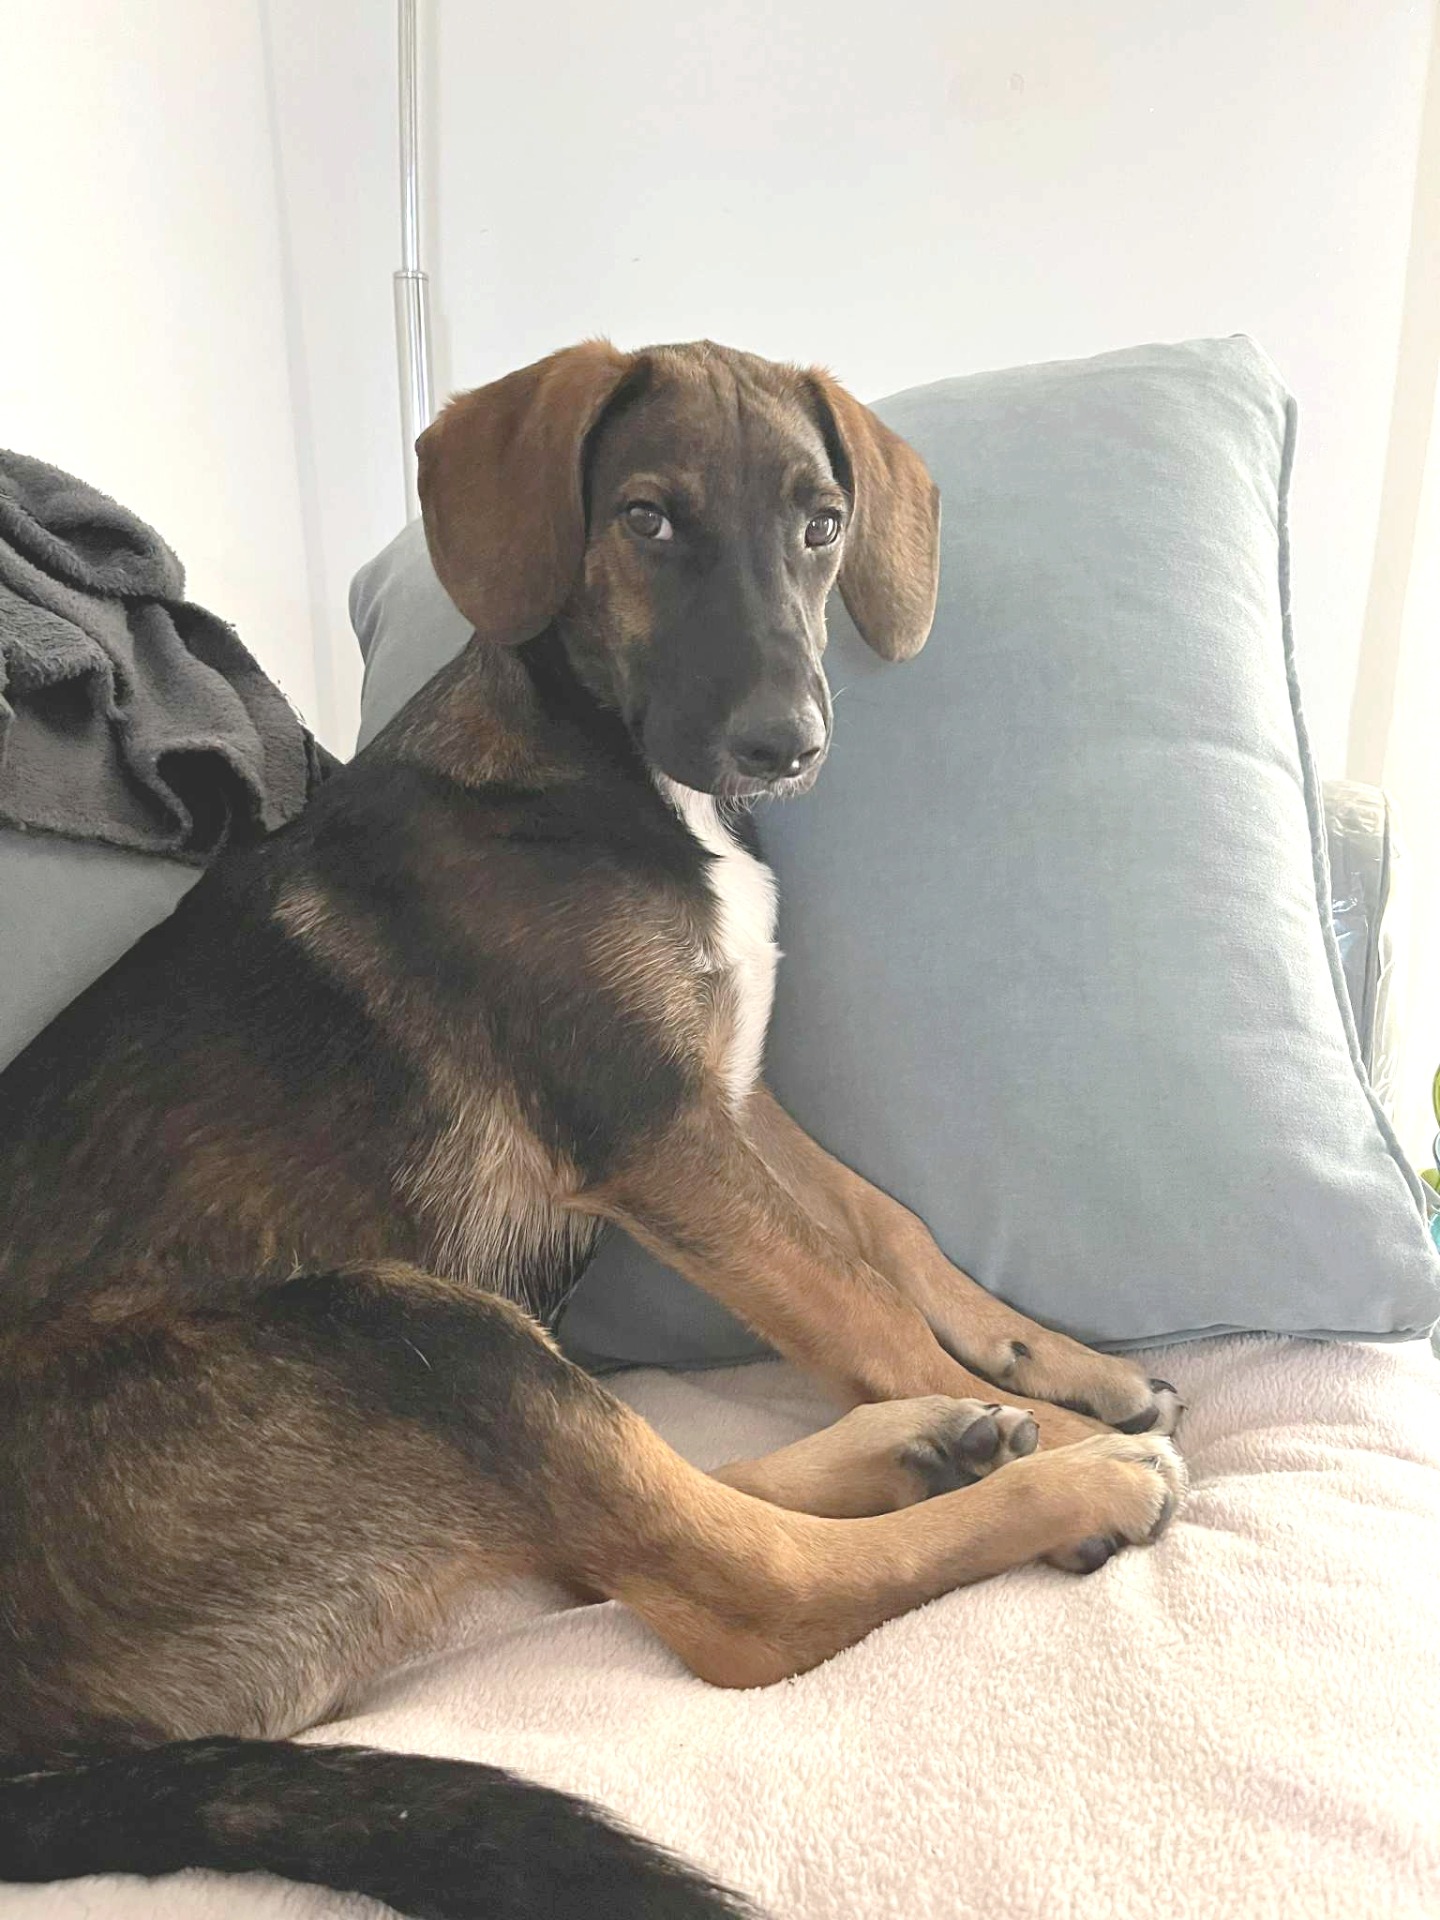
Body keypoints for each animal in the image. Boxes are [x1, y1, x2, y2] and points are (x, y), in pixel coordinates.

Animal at [0, 341, 1184, 1920]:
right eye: (646, 519)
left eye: (823, 525)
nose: (783, 746)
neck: (607, 763)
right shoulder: (652, 1131)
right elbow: (852, 1302)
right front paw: (1063, 1422)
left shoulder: (721, 1092)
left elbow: (889, 1231)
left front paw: (1041, 1365)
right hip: (400, 1324)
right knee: (748, 1598)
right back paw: (1060, 1480)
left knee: (627, 1525)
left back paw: (935, 1443)